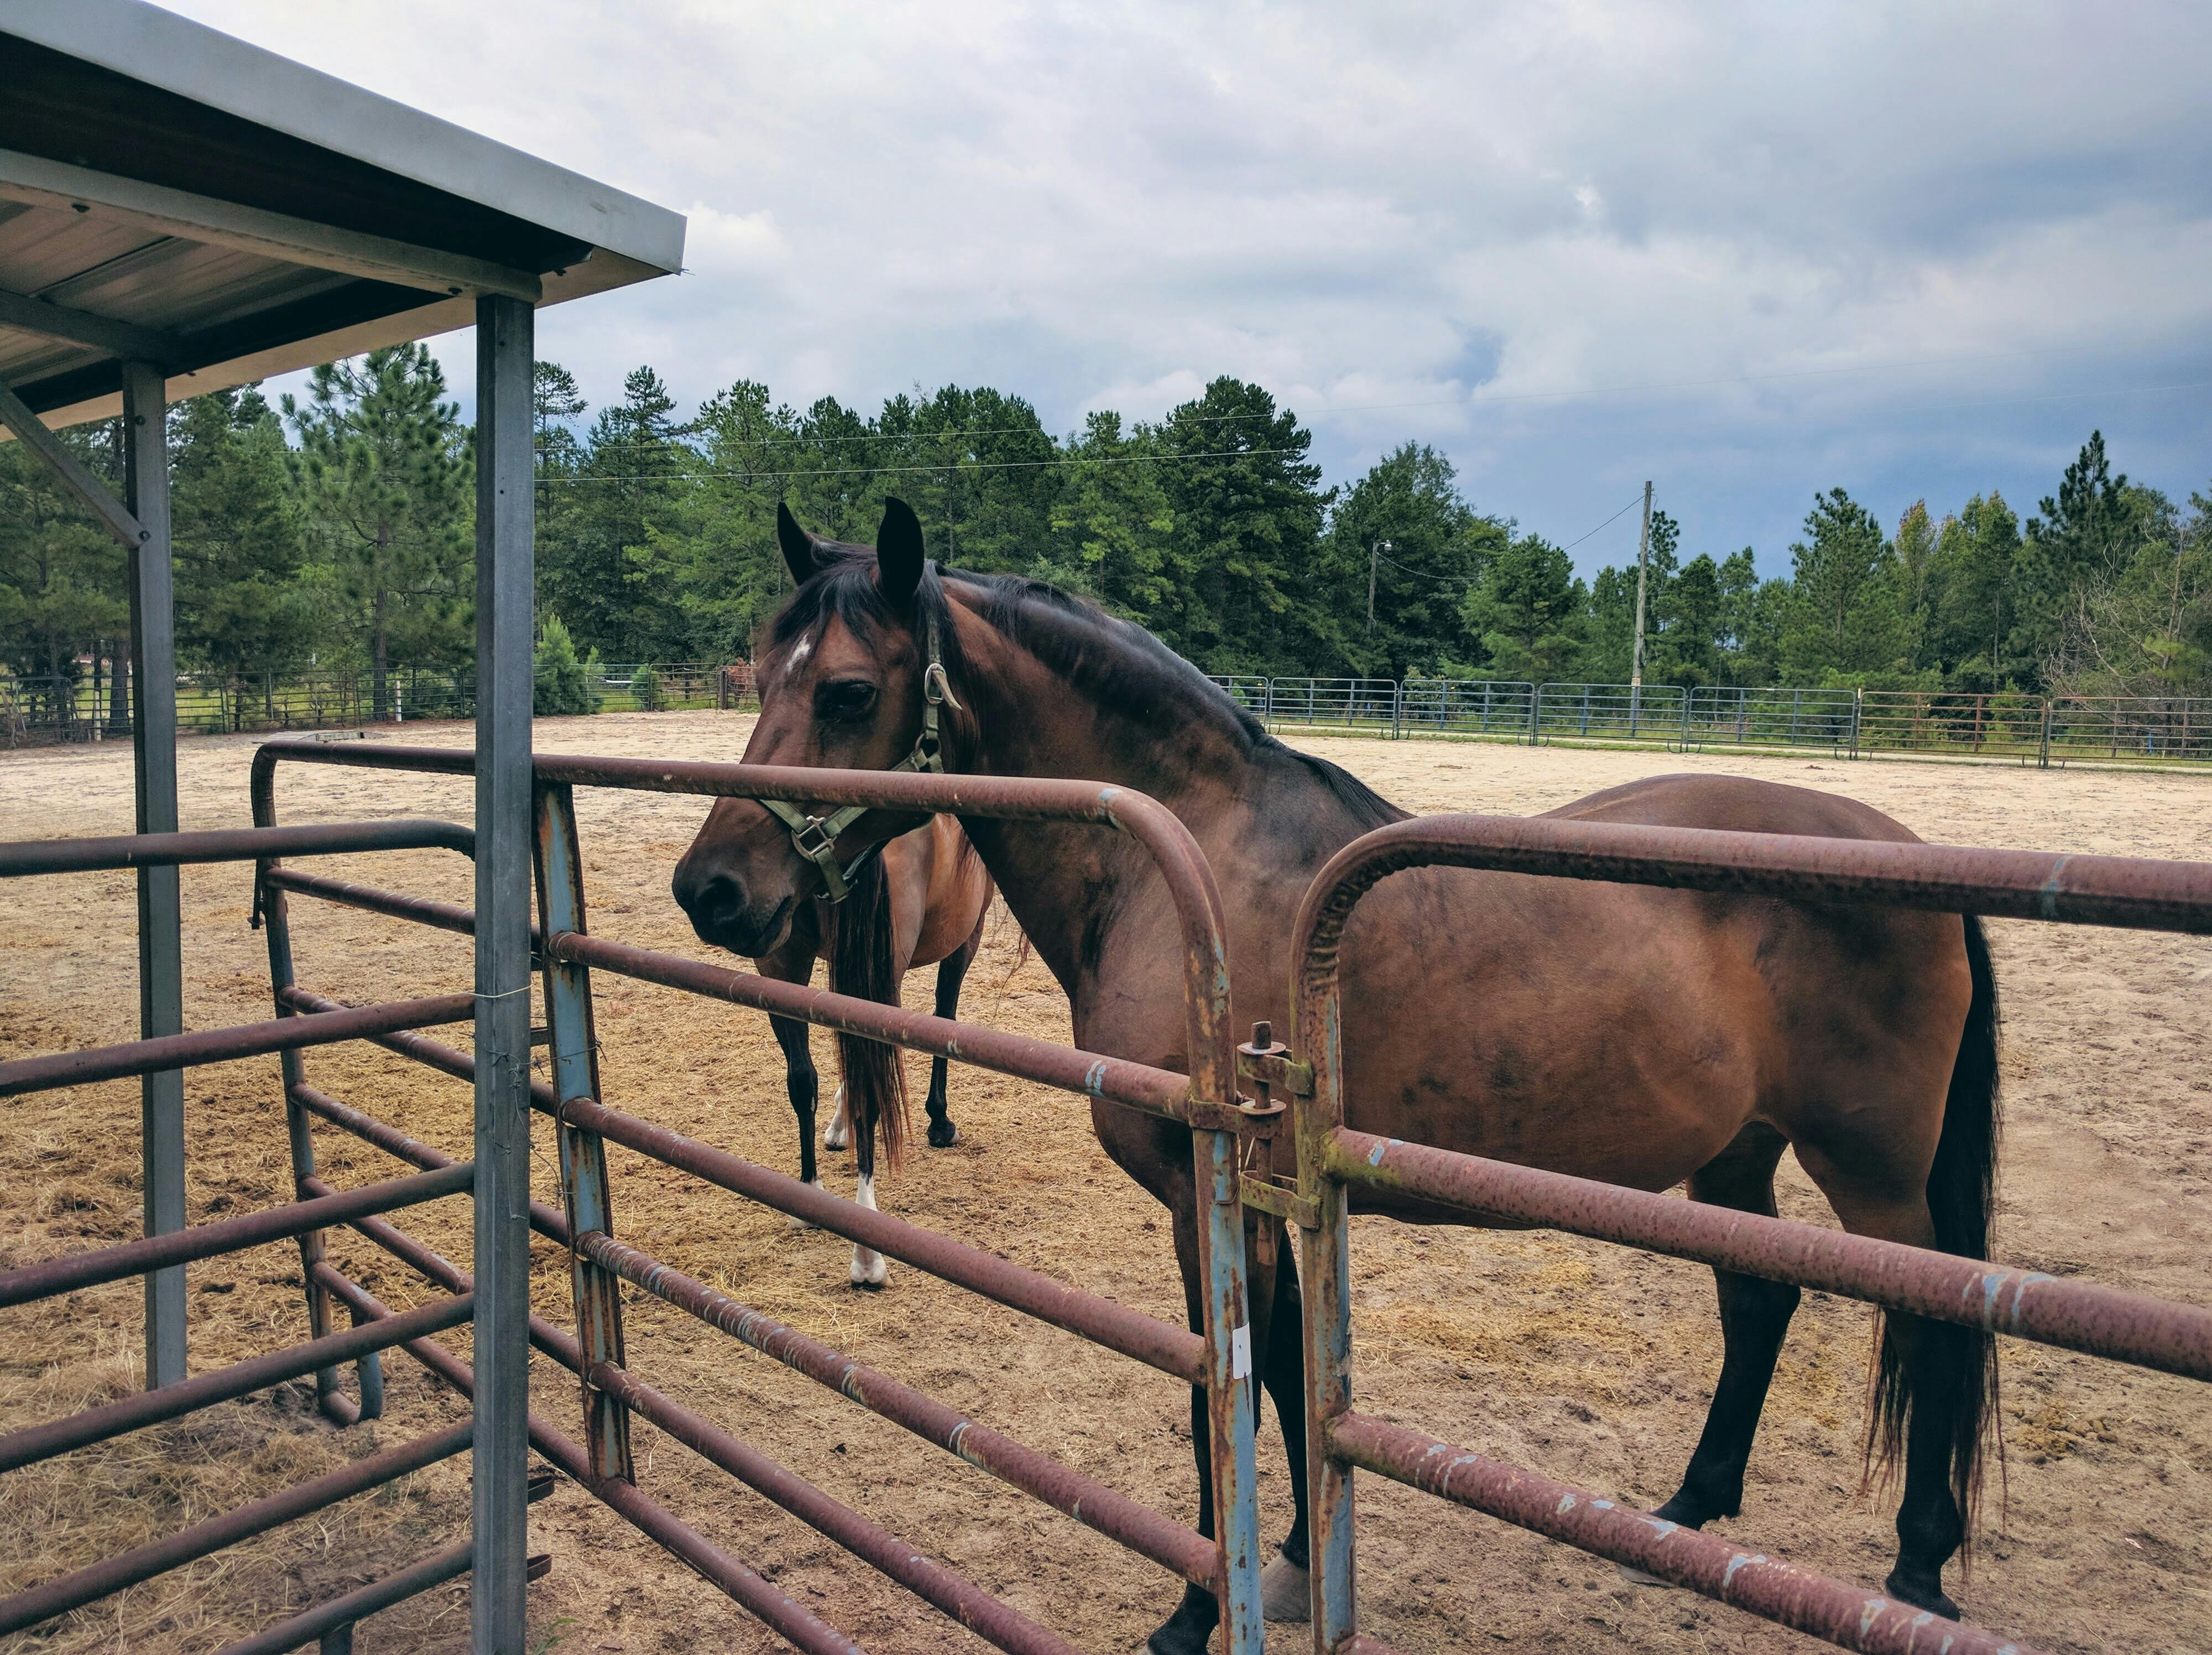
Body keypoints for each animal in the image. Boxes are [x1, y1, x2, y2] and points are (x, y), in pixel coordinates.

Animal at [739, 810, 991, 1283]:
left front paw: (840, 1125)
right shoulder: (968, 933)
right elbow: (944, 1016)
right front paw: (939, 1121)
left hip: (779, 963)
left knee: (802, 1078)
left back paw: (809, 1195)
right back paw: (868, 1254)